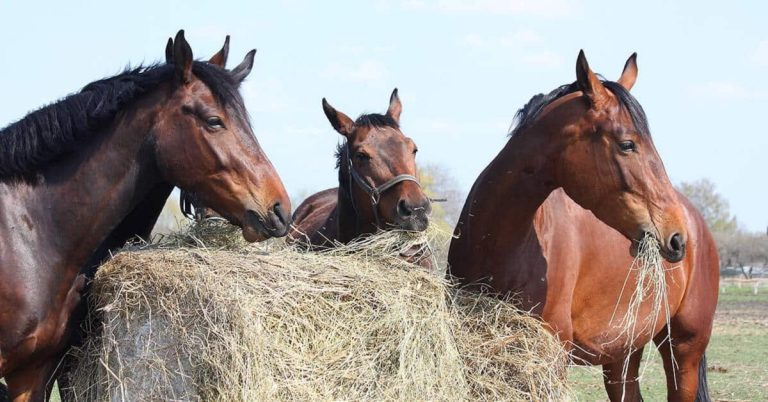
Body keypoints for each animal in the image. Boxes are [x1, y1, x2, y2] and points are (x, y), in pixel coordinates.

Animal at [448, 51, 718, 402]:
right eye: (627, 144)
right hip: (623, 354)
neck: (495, 243)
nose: (675, 236)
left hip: (683, 350)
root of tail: (697, 223)